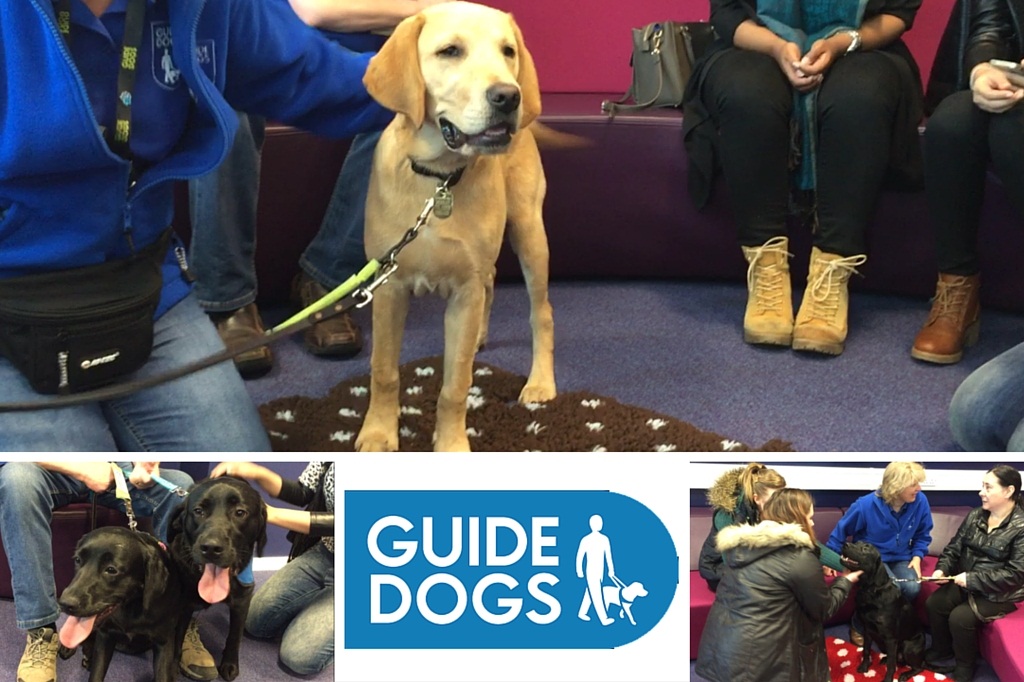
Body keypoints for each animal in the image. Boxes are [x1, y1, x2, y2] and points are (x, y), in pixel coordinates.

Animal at [356, 5, 557, 454]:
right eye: (450, 51)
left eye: (507, 51)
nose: (509, 96)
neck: (439, 178)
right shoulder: (389, 287)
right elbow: (384, 370)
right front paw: (378, 433)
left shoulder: (464, 291)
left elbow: (456, 383)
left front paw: (450, 445)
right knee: (493, 281)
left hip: (530, 233)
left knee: (541, 313)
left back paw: (540, 382)